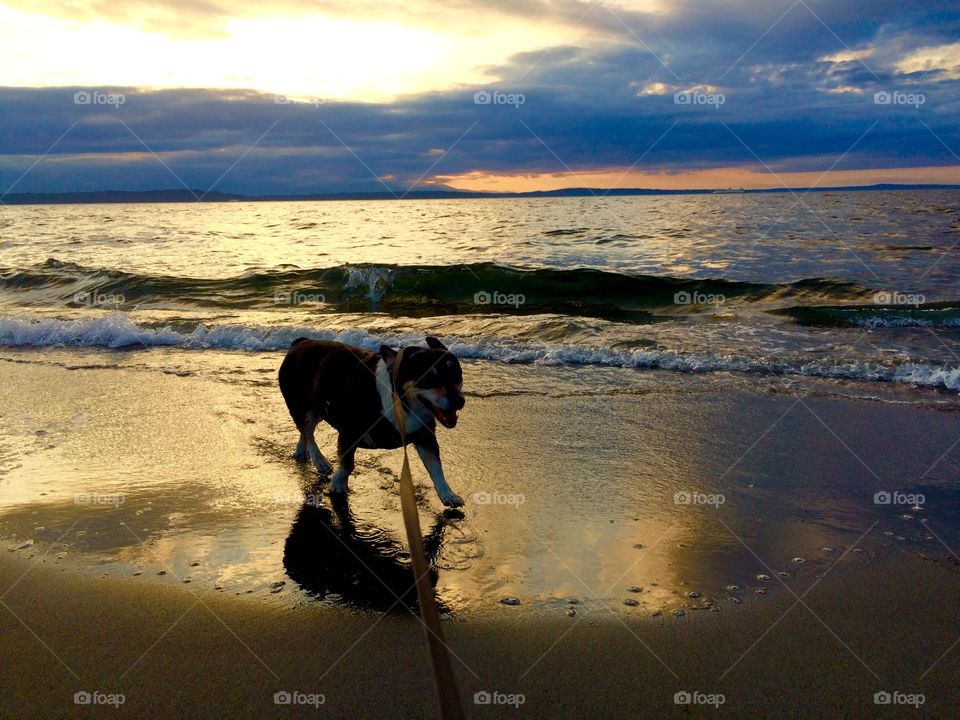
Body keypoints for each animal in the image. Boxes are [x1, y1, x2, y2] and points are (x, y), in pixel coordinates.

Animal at [276, 336, 466, 506]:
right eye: (428, 379)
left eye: (458, 376)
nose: (460, 401)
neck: (400, 402)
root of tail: (300, 342)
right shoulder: (348, 433)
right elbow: (347, 464)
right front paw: (338, 483)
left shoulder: (425, 436)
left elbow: (436, 468)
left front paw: (447, 494)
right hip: (304, 407)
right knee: (308, 432)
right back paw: (319, 460)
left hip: (318, 410)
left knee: (305, 431)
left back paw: (301, 449)